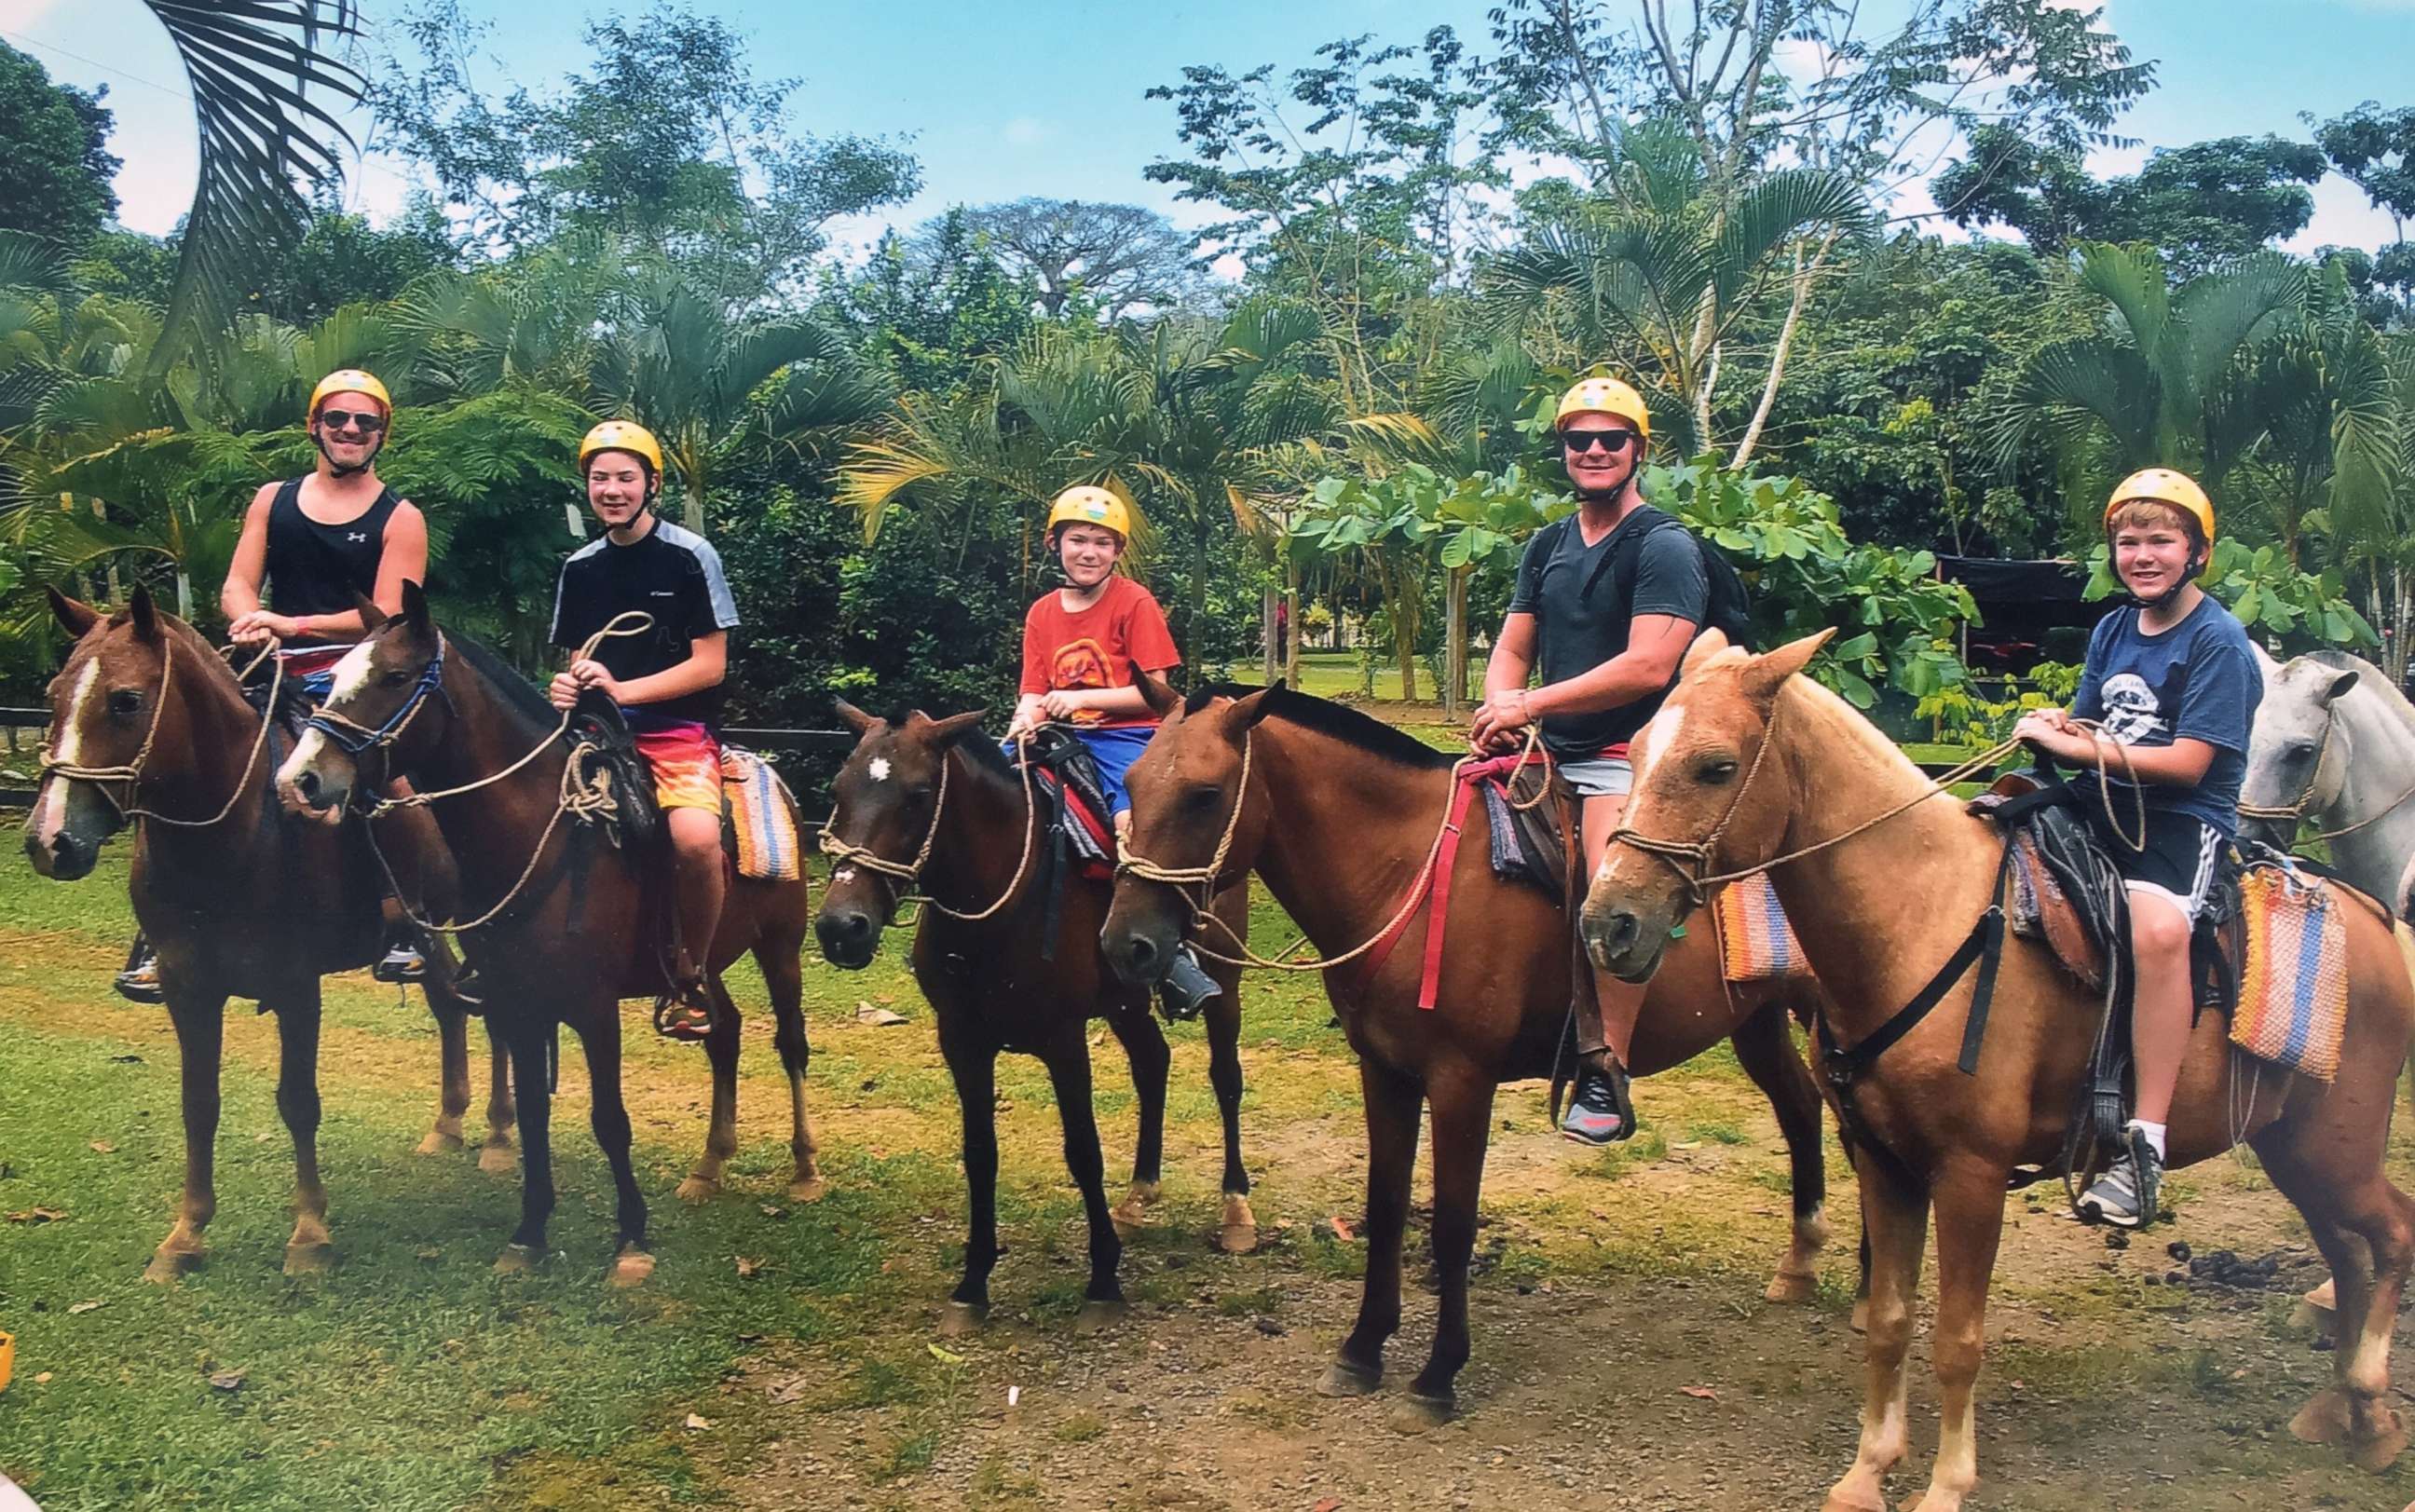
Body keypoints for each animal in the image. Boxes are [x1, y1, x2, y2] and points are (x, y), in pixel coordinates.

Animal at [20, 587, 504, 1274]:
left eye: (126, 700)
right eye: (55, 694)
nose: (49, 840)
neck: (230, 836)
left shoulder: (297, 984)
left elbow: (298, 1101)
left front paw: (309, 1233)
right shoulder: (187, 986)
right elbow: (199, 1103)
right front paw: (186, 1235)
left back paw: (500, 1135)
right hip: (428, 927)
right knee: (447, 1003)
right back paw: (448, 1124)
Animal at [816, 705, 1255, 1333]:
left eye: (919, 795)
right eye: (838, 791)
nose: (840, 927)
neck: (997, 902)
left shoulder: (1063, 1040)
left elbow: (1084, 1152)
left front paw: (1102, 1281)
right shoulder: (962, 1040)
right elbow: (980, 1154)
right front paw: (972, 1285)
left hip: (1224, 985)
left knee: (1226, 1079)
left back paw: (1236, 1208)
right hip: (1126, 1001)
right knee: (1153, 1065)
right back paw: (1139, 1194)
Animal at [1106, 671, 1835, 1420]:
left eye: (1204, 793)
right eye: (1130, 781)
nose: (1126, 944)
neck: (1409, 874)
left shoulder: (1462, 1078)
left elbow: (1454, 1222)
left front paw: (1438, 1373)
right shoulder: (1385, 1070)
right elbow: (1387, 1206)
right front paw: (1363, 1348)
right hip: (1757, 1021)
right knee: (1802, 1107)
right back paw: (1800, 1261)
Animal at [1584, 622, 2415, 1506]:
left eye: (1716, 765)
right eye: (1638, 748)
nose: (1609, 922)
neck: (1922, 920)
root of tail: (2375, 919)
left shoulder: (1970, 1175)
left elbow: (1957, 1338)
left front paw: (1947, 1483)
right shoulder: (1885, 1162)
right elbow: (1889, 1322)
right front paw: (1867, 1469)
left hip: (2335, 1148)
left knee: (2390, 1234)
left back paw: (2367, 1394)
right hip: (2295, 1147)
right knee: (2348, 1251)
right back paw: (2346, 1411)